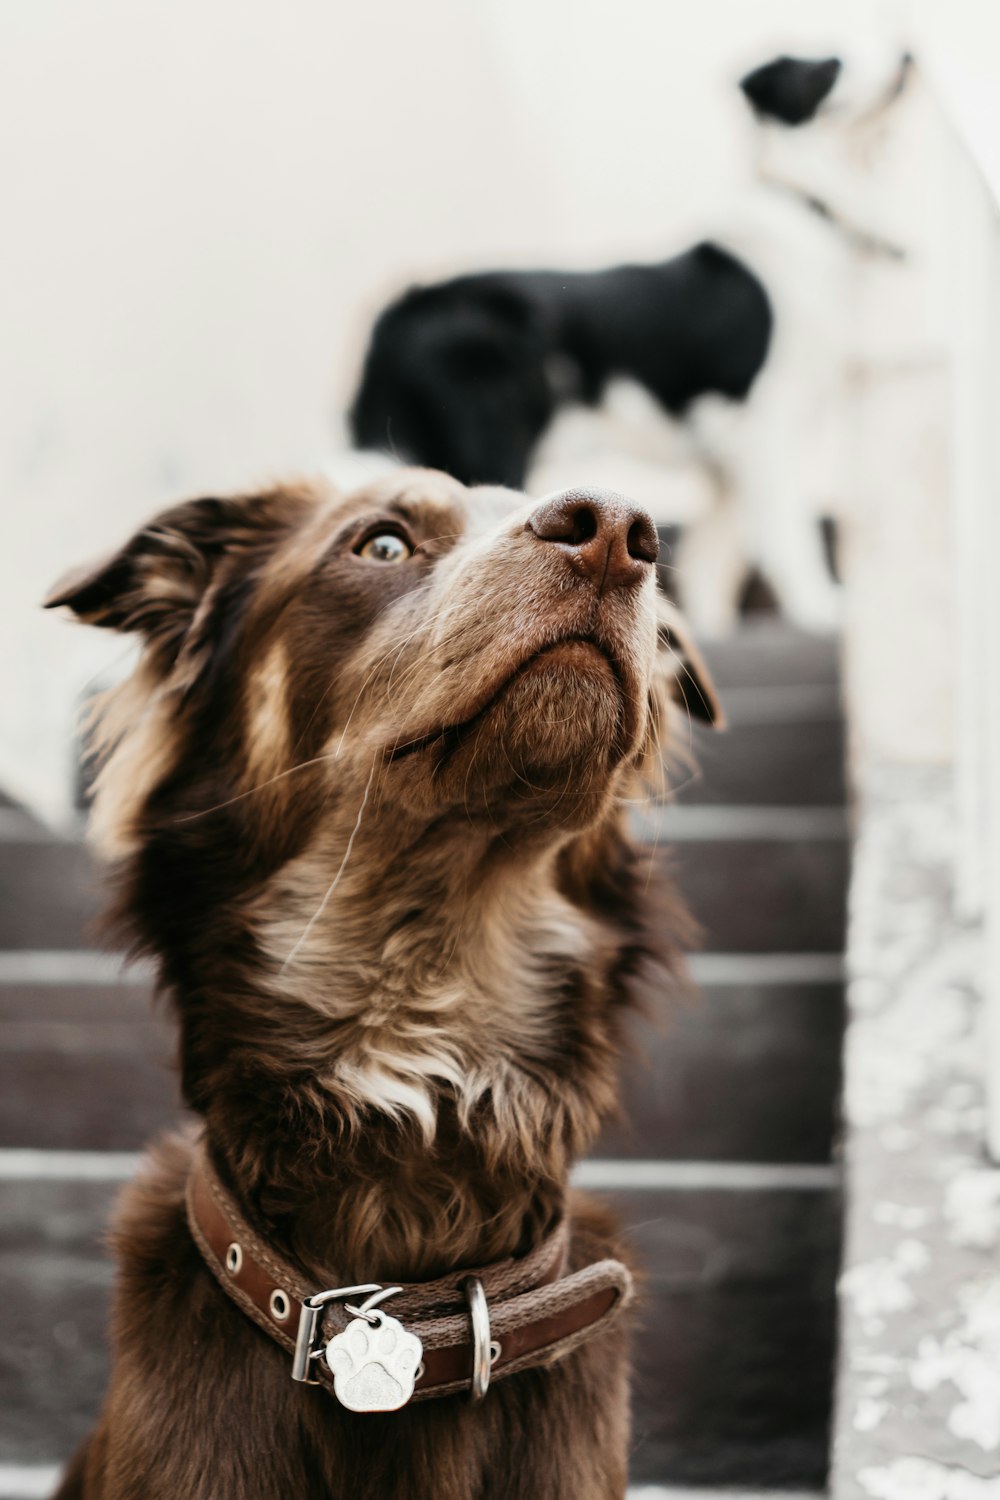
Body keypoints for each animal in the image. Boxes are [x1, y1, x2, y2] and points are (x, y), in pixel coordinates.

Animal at [350, 39, 923, 627]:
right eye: (829, 66)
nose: (908, 51)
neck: (811, 209)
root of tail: (407, 304)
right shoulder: (767, 431)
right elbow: (789, 538)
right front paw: (821, 610)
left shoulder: (728, 457)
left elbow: (715, 558)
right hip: (489, 438)